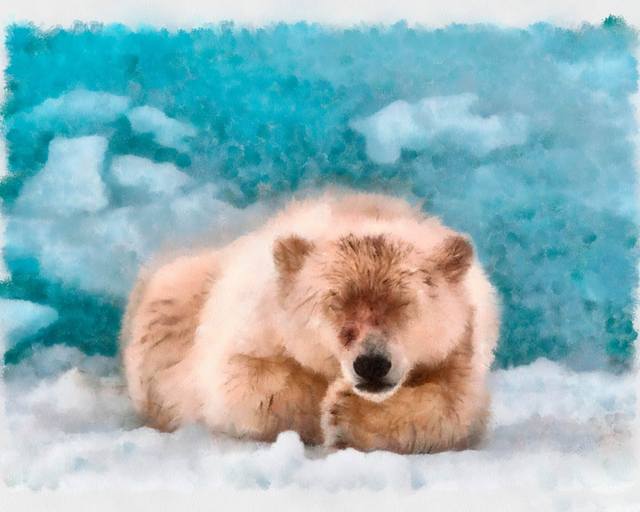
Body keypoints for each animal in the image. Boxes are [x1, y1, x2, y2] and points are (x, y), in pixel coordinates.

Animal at [121, 191, 500, 453]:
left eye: (404, 303)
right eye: (335, 303)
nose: (372, 364)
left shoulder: (462, 345)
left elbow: (455, 407)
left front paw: (347, 410)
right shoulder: (256, 321)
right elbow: (241, 384)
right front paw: (328, 403)